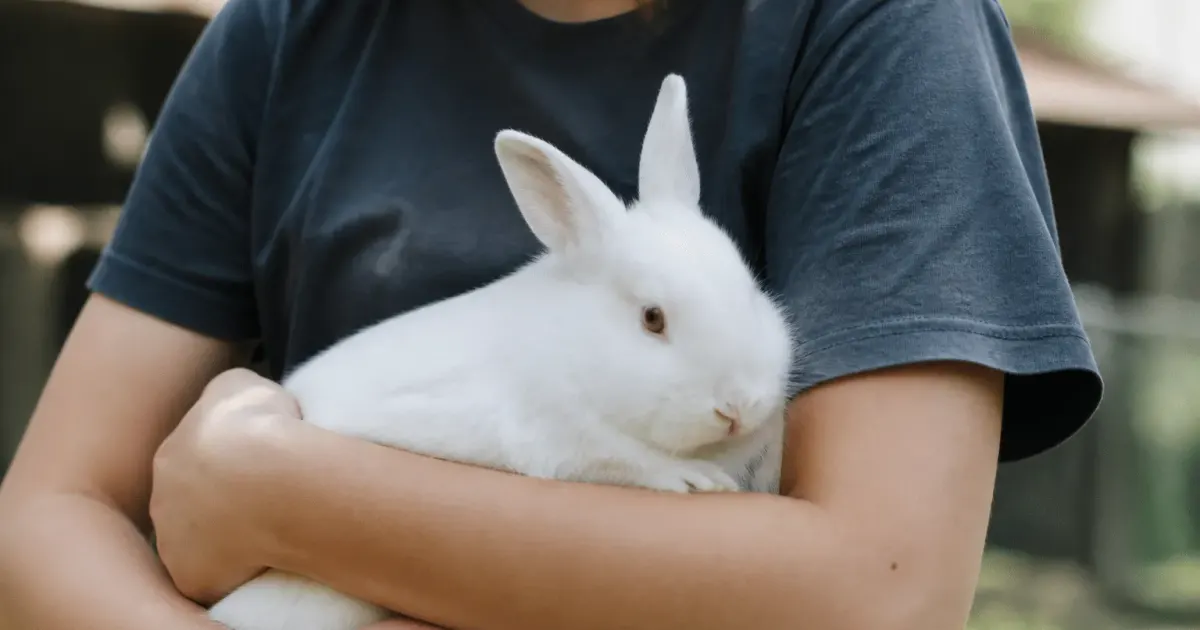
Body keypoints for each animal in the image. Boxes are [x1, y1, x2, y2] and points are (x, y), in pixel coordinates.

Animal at [207, 74, 796, 630]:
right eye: (653, 319)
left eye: (750, 289)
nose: (738, 406)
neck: (577, 351)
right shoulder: (568, 439)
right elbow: (628, 461)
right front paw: (694, 480)